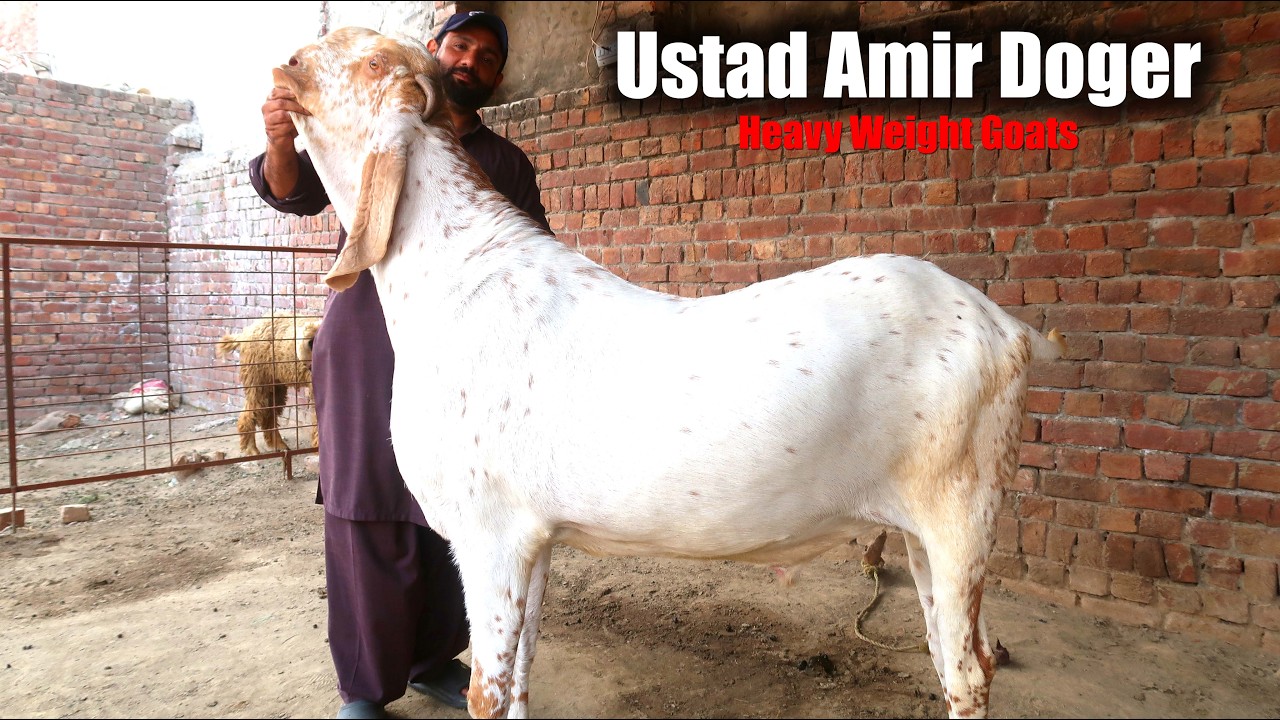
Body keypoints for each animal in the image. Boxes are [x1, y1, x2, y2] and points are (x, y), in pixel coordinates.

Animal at [216, 313, 321, 457]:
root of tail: (245, 333)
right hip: (257, 380)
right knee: (250, 414)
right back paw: (252, 449)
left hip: (275, 385)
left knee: (268, 416)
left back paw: (280, 446)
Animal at [273, 27, 1064, 719]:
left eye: (373, 64)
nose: (289, 65)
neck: (452, 280)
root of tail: (1008, 329)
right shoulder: (533, 537)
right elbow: (522, 676)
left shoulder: (488, 530)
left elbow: (487, 693)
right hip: (923, 532)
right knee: (949, 651)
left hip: (962, 509)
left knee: (968, 671)